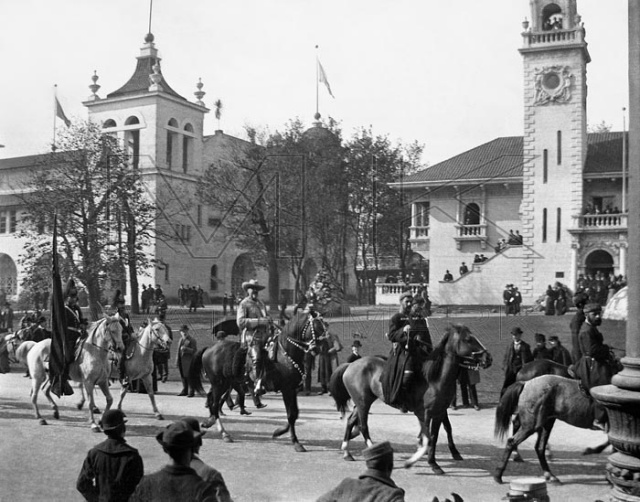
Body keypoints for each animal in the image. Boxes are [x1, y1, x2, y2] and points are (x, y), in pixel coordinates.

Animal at [185, 310, 324, 452]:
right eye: (317, 327)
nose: (318, 348)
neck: (285, 354)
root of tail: (209, 349)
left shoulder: (292, 390)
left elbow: (294, 414)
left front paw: (278, 432)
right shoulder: (287, 389)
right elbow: (291, 415)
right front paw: (296, 442)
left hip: (225, 383)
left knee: (214, 402)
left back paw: (210, 421)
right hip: (219, 383)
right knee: (214, 404)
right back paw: (224, 433)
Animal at [328, 324, 492, 472]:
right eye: (468, 339)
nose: (488, 358)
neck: (435, 379)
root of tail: (350, 365)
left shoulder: (439, 412)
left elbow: (438, 434)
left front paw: (435, 461)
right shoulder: (425, 413)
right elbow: (428, 437)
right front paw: (420, 460)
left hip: (362, 401)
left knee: (351, 421)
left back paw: (347, 452)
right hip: (363, 403)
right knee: (363, 427)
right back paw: (373, 452)